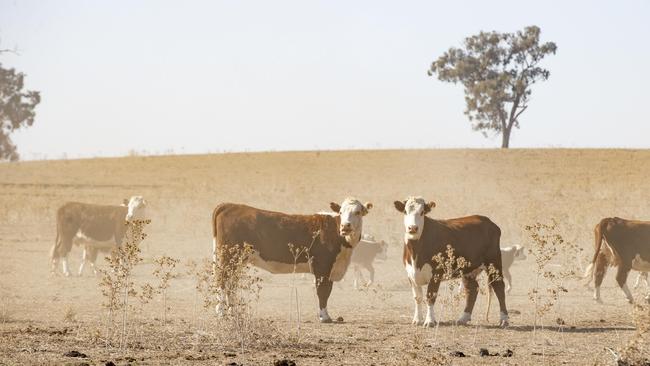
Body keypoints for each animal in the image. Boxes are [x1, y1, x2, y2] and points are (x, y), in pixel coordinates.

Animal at [209, 197, 370, 324]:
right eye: (341, 212)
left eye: (357, 212)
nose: (345, 226)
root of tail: (229, 205)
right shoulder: (323, 267)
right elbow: (323, 291)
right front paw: (324, 317)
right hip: (227, 257)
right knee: (222, 281)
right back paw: (221, 312)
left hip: (237, 260)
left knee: (231, 284)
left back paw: (233, 312)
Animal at [390, 196, 506, 328]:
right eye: (405, 211)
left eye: (422, 212)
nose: (413, 228)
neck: (416, 253)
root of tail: (489, 222)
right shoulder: (411, 274)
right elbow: (417, 298)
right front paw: (417, 320)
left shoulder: (436, 274)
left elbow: (430, 297)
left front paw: (429, 321)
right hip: (468, 269)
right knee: (472, 289)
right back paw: (463, 318)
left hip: (494, 262)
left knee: (499, 286)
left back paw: (504, 319)